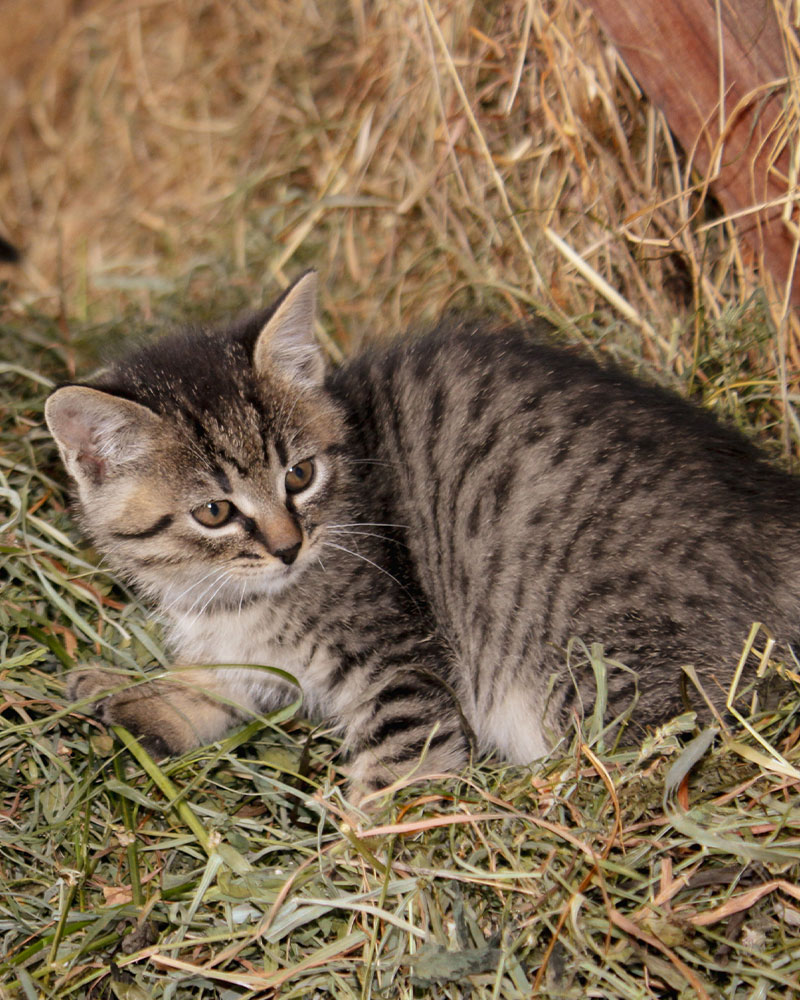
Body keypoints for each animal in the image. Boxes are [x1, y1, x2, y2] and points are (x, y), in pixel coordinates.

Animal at [45, 272, 800, 796]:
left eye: (300, 474)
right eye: (214, 512)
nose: (289, 547)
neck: (233, 598)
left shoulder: (400, 659)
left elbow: (397, 764)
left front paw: (357, 860)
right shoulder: (256, 657)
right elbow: (213, 686)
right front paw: (118, 691)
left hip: (601, 662)